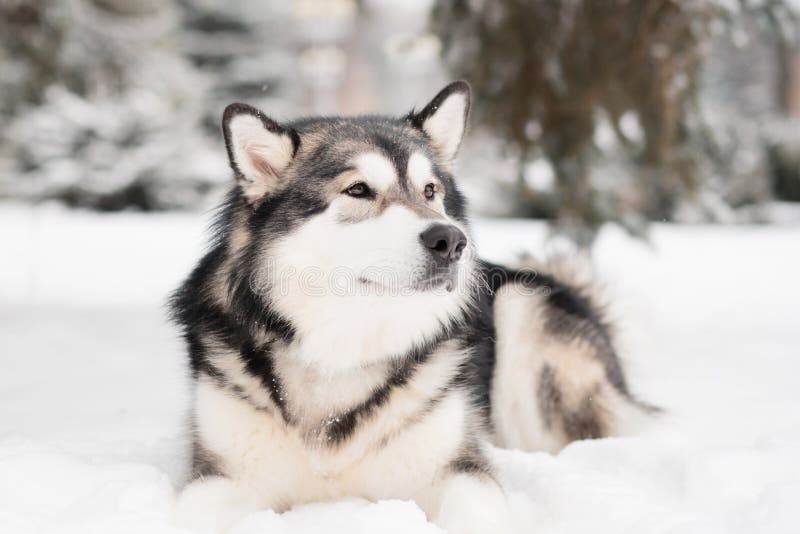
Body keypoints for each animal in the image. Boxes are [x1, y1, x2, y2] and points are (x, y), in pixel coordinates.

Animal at [169, 81, 648, 532]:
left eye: (430, 191)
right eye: (358, 189)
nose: (451, 241)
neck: (342, 351)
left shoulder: (459, 469)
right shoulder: (222, 476)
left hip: (524, 308)